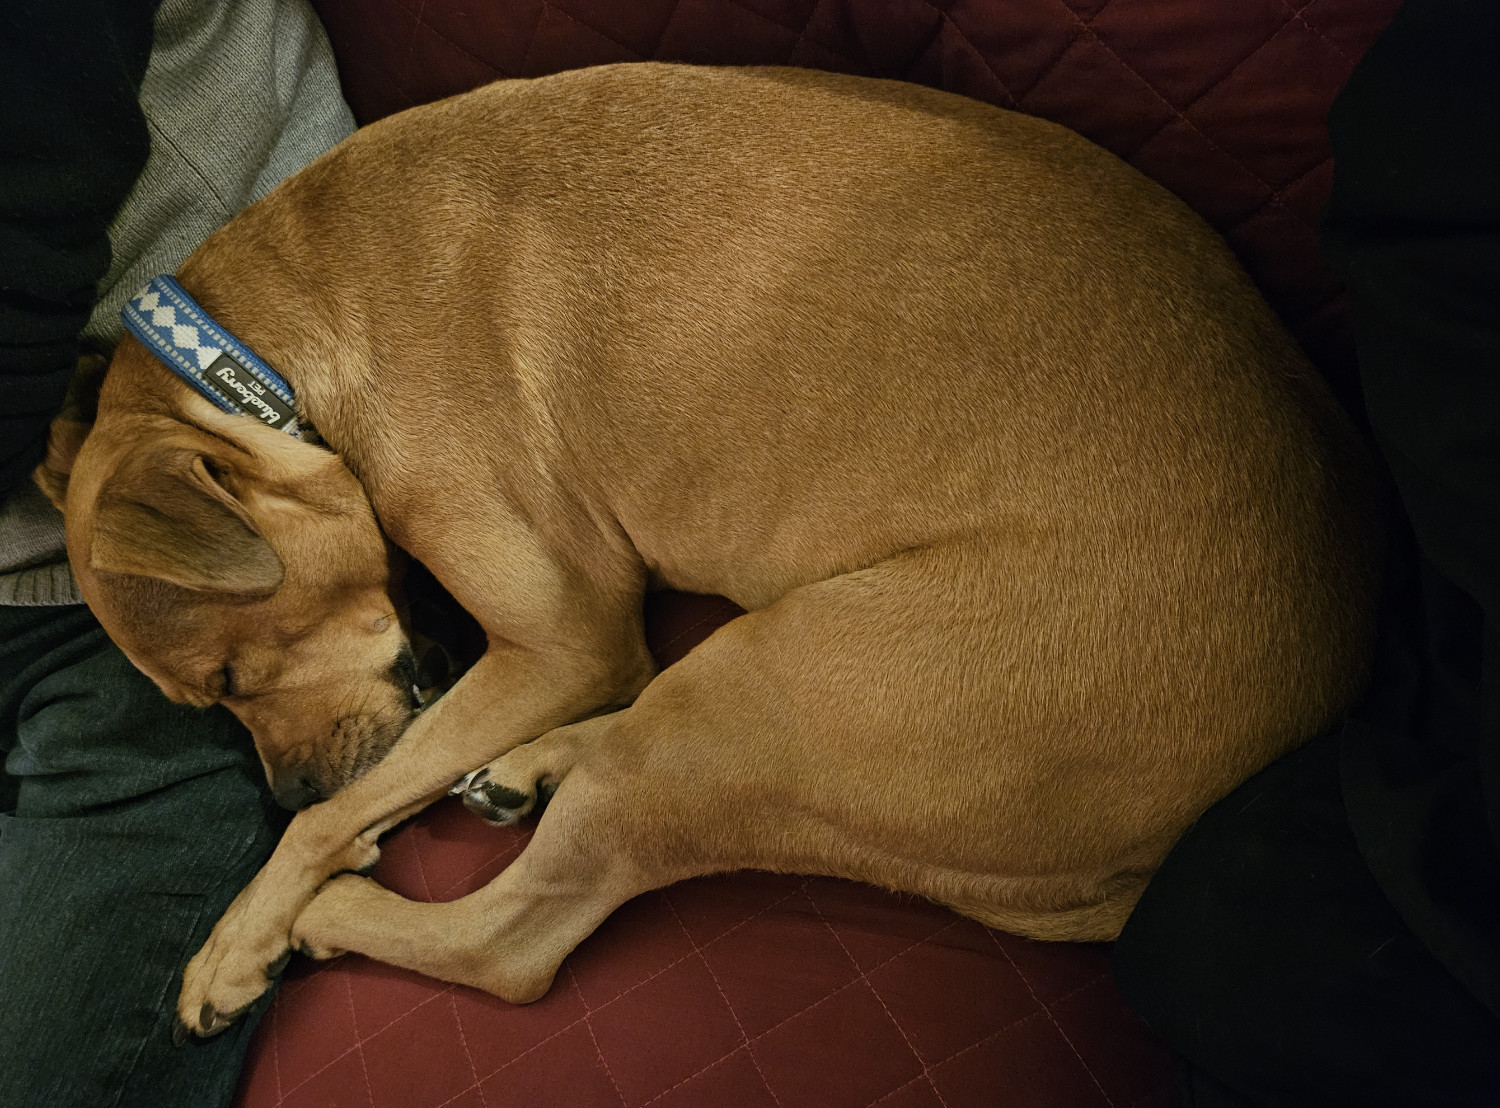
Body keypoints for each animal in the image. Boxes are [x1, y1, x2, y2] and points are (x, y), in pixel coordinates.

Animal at [35, 67, 1380, 1037]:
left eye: (229, 681)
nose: (282, 788)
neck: (263, 354)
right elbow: (402, 760)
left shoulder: (563, 634)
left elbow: (347, 810)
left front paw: (244, 933)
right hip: (719, 712)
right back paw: (525, 768)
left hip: (763, 690)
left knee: (512, 942)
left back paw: (341, 910)